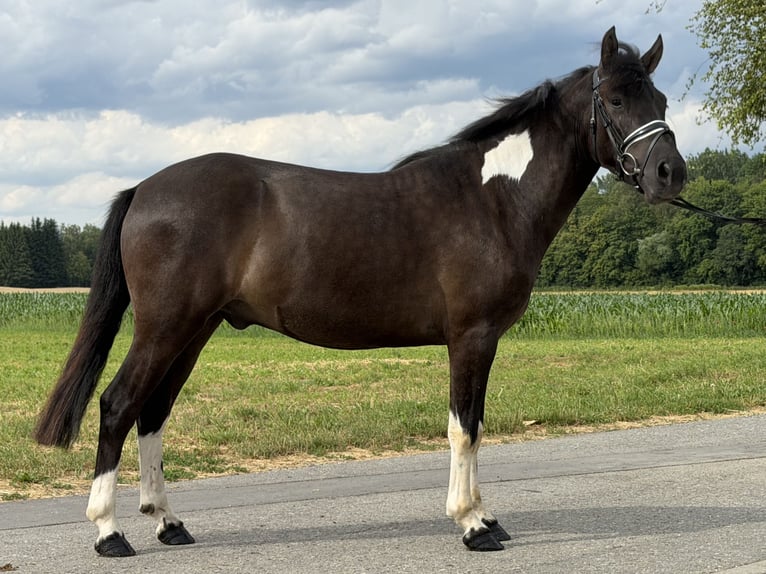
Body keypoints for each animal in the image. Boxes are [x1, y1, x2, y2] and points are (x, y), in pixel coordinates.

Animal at [35, 27, 686, 556]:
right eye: (617, 99)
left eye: (661, 101)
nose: (670, 174)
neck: (494, 199)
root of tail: (144, 189)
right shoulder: (471, 338)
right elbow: (464, 427)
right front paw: (472, 525)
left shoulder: (482, 342)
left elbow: (476, 425)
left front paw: (487, 517)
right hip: (164, 327)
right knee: (118, 405)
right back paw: (109, 533)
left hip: (193, 331)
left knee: (153, 413)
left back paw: (168, 523)